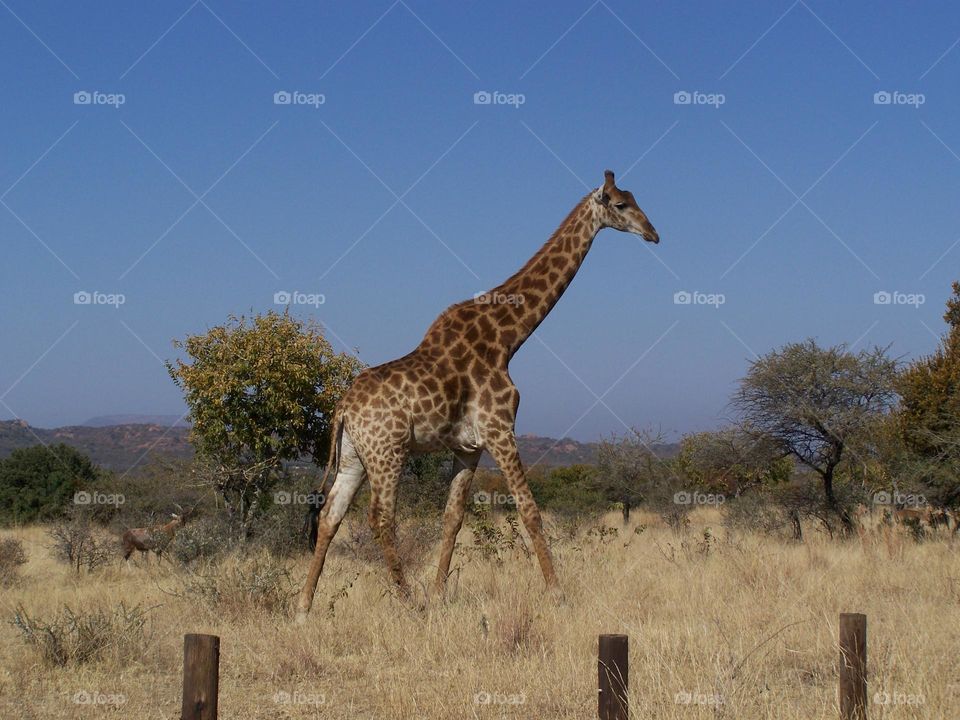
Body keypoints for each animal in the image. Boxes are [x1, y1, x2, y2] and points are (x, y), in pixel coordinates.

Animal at [298, 169, 660, 620]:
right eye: (621, 204)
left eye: (635, 199)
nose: (653, 234)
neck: (507, 338)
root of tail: (343, 408)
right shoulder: (499, 428)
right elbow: (529, 510)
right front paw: (558, 595)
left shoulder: (468, 447)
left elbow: (452, 516)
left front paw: (439, 595)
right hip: (388, 451)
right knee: (380, 517)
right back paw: (407, 602)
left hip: (354, 456)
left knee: (331, 515)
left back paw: (304, 607)